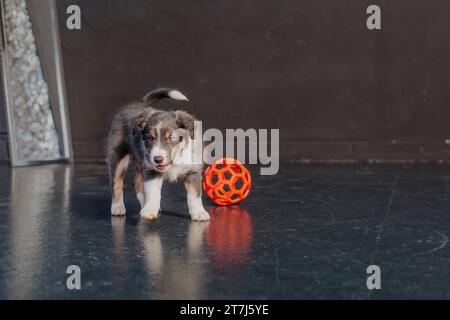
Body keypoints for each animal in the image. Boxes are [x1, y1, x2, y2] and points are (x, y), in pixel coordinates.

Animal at [107, 89, 209, 221]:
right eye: (150, 138)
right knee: (116, 182)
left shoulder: (192, 170)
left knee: (138, 182)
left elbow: (194, 195)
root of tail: (142, 105)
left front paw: (199, 213)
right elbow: (153, 192)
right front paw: (149, 210)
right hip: (118, 154)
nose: (158, 159)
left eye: (171, 138)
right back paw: (118, 207)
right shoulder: (152, 170)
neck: (174, 161)